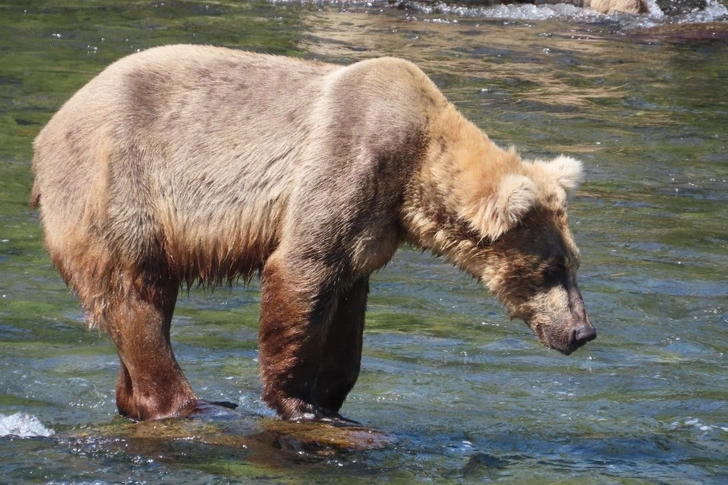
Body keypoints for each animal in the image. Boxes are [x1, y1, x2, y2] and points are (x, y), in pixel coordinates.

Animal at [29, 46, 596, 424]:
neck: (414, 175)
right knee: (135, 297)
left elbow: (347, 302)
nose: (582, 332)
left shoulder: (375, 225)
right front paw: (297, 400)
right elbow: (302, 270)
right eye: (550, 269)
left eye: (574, 264)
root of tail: (47, 131)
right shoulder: (348, 159)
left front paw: (331, 397)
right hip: (117, 186)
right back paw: (190, 403)